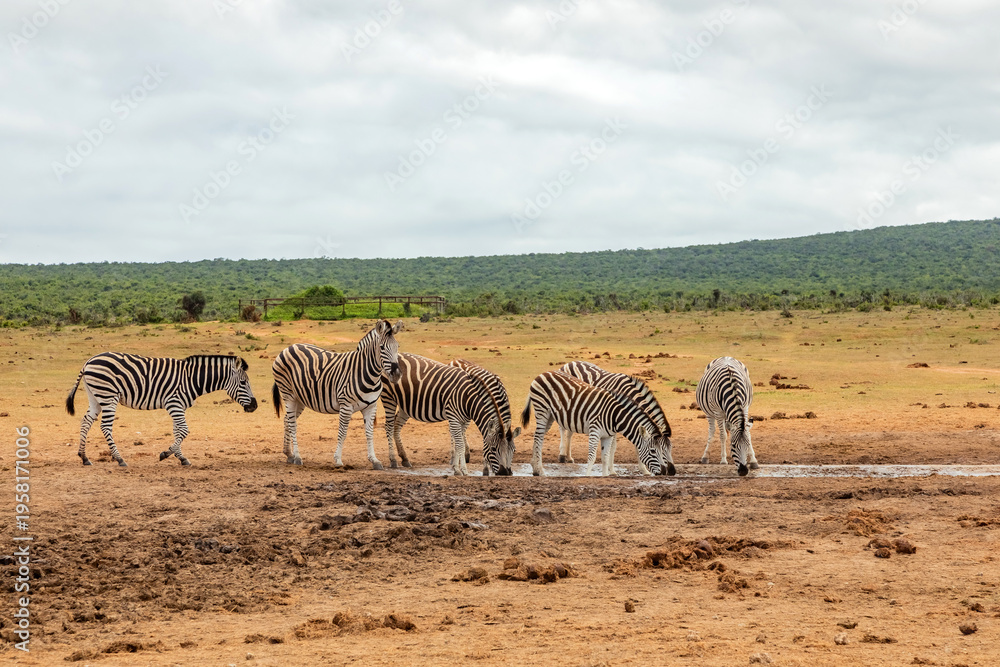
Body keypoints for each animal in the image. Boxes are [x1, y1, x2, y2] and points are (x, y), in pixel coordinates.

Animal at [66, 353, 258, 467]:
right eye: (243, 383)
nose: (254, 406)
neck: (192, 379)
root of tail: (88, 362)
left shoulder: (178, 406)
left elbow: (178, 431)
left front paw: (181, 457)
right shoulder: (174, 403)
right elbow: (184, 430)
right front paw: (165, 453)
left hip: (95, 397)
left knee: (86, 421)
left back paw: (84, 457)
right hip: (108, 396)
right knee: (105, 427)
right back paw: (119, 459)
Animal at [271, 319, 402, 469]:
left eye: (397, 346)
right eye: (382, 348)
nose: (397, 375)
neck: (367, 374)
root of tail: (288, 348)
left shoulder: (371, 406)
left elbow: (369, 433)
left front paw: (374, 460)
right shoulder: (346, 406)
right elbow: (342, 433)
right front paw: (338, 460)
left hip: (300, 398)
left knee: (287, 420)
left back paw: (289, 454)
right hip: (288, 395)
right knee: (292, 424)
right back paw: (298, 457)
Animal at [380, 353, 520, 476]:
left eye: (513, 450)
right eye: (493, 449)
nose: (505, 473)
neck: (468, 398)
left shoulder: (463, 419)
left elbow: (460, 443)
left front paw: (457, 468)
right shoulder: (455, 417)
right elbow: (460, 445)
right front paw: (463, 470)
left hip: (406, 404)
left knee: (397, 426)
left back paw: (405, 459)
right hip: (389, 398)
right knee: (389, 426)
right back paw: (393, 460)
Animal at [520, 371, 663, 477]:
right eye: (653, 451)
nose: (663, 472)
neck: (614, 416)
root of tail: (542, 374)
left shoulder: (607, 436)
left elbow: (605, 456)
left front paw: (605, 476)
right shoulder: (595, 431)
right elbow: (592, 456)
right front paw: (588, 475)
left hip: (550, 415)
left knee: (537, 437)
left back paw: (535, 468)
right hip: (542, 410)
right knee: (539, 438)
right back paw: (541, 470)